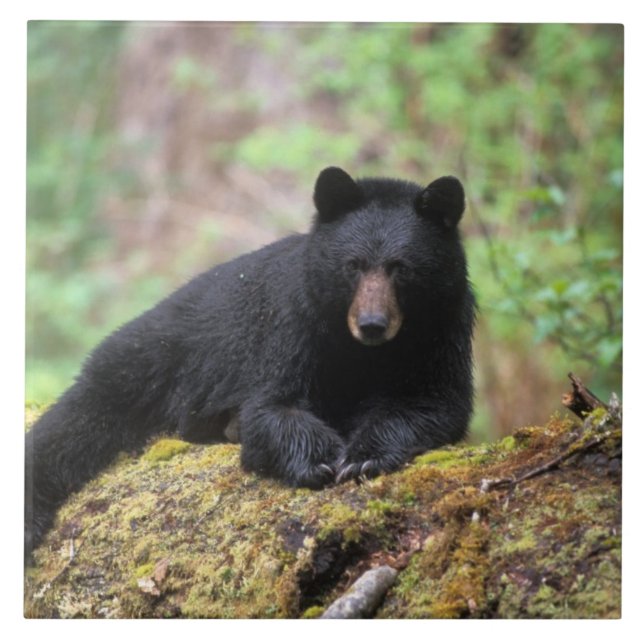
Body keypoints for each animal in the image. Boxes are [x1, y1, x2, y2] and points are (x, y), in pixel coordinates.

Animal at [25, 166, 475, 557]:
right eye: (353, 265)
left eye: (401, 268)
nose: (372, 324)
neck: (364, 353)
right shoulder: (293, 324)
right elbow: (271, 406)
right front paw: (319, 459)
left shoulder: (443, 329)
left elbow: (434, 402)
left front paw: (365, 455)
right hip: (147, 361)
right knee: (73, 423)